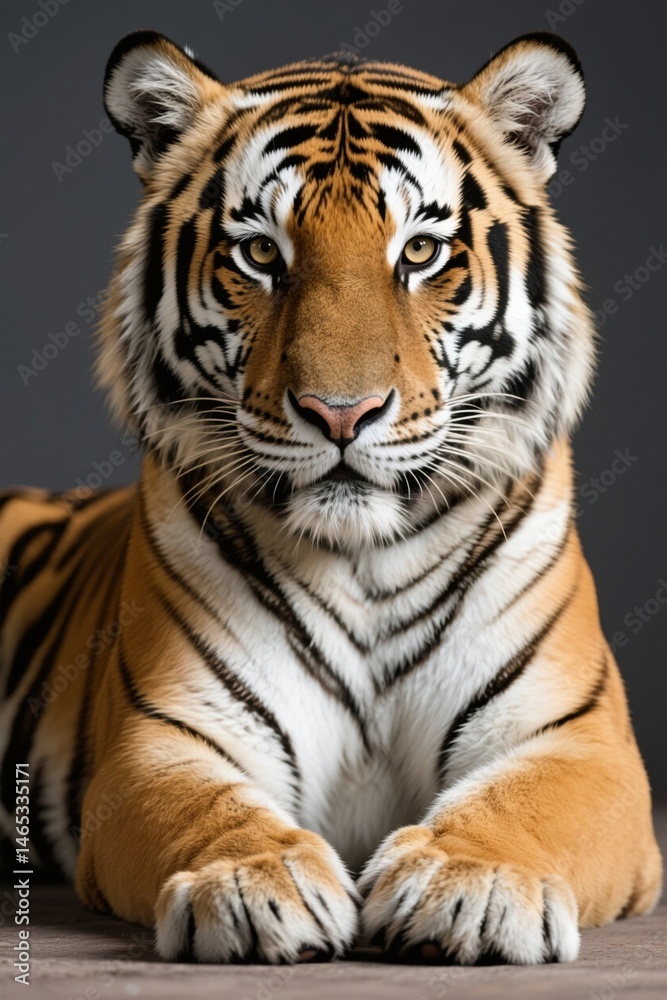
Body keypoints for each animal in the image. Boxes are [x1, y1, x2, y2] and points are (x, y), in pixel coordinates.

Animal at [0, 29, 661, 966]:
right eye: (260, 254)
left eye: (418, 253)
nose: (339, 413)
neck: (364, 560)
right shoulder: (165, 738)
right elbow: (209, 810)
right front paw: (252, 883)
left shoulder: (576, 737)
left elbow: (522, 804)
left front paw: (472, 884)